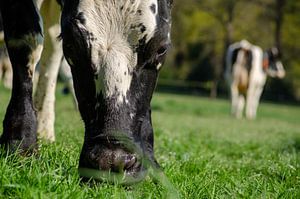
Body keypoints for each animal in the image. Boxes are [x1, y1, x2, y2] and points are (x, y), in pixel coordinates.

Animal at [0, 0, 172, 183]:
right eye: (71, 45)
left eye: (161, 49)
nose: (111, 161)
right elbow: (25, 40)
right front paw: (20, 145)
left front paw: (150, 159)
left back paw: (45, 129)